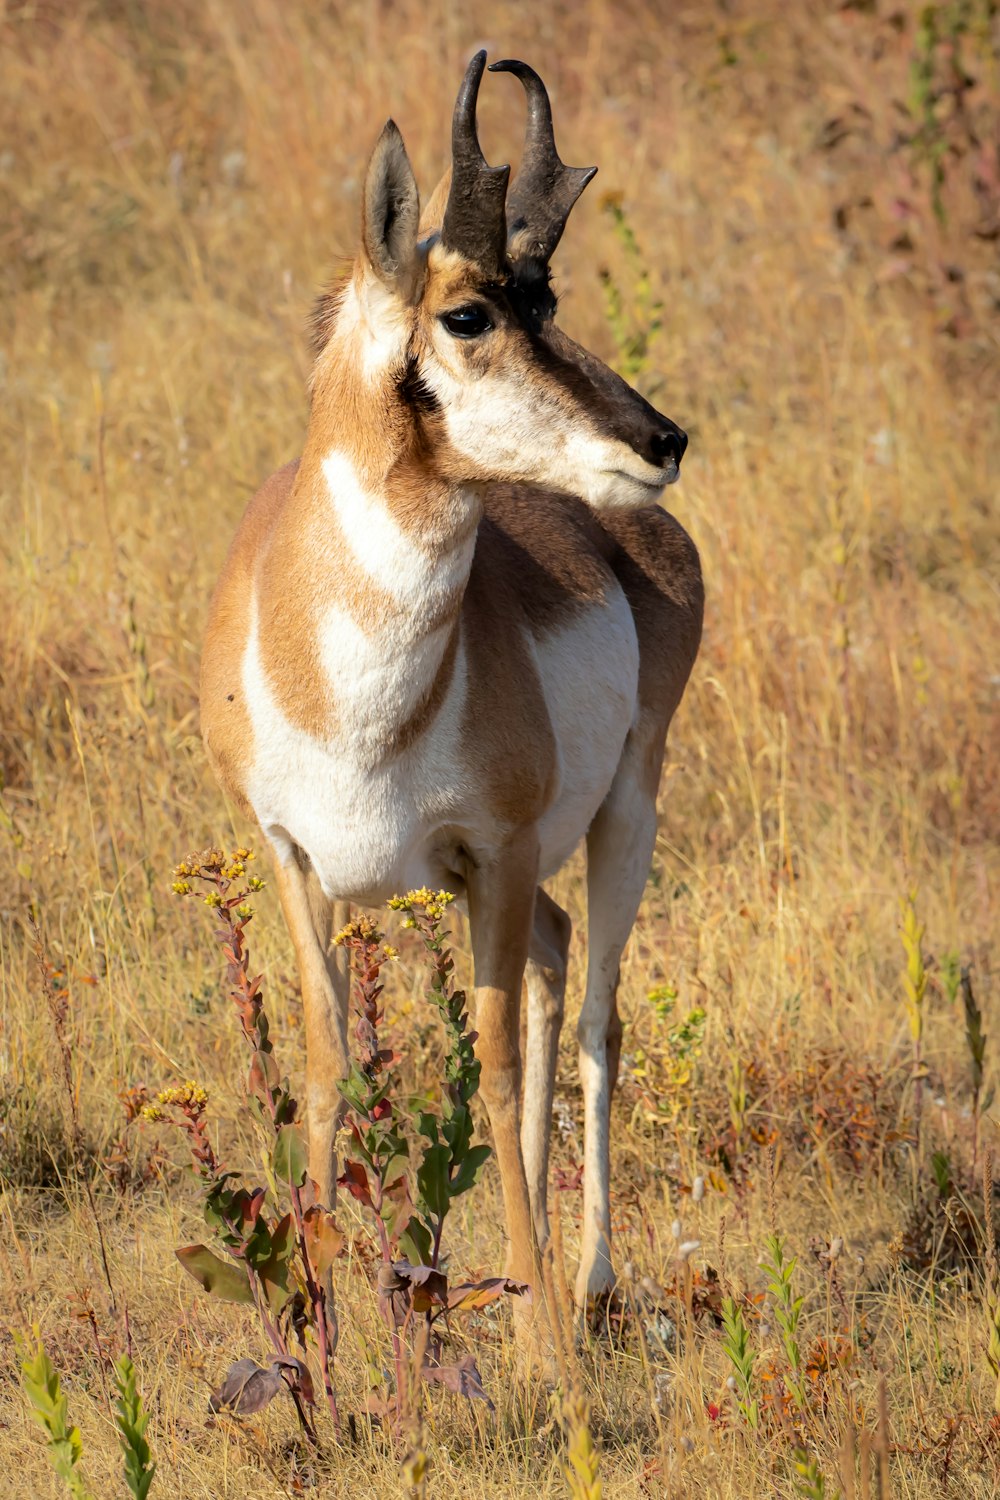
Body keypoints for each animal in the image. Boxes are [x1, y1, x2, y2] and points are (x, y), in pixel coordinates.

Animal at [200, 52, 704, 1320]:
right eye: (468, 312)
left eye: (549, 301)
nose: (662, 440)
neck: (357, 710)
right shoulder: (293, 856)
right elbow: (329, 1058)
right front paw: (323, 1318)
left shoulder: (498, 852)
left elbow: (494, 1064)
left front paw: (542, 1351)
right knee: (559, 967)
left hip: (624, 819)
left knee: (594, 1016)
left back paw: (582, 1287)